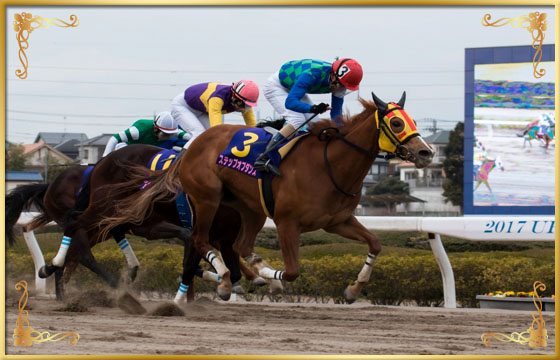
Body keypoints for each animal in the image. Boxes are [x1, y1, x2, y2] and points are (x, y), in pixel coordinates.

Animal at [99, 92, 434, 300]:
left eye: (414, 120)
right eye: (396, 122)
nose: (426, 153)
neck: (329, 165)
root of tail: (192, 145)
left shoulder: (337, 221)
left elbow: (375, 243)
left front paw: (353, 289)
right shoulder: (287, 222)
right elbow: (293, 272)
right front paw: (272, 281)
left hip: (251, 209)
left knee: (239, 245)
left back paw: (250, 275)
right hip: (207, 199)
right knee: (200, 239)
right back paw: (226, 281)